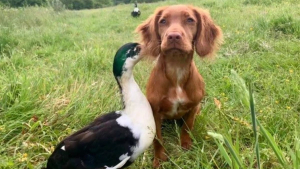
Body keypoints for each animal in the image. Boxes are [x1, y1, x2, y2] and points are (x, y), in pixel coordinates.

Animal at [136, 4, 223, 168]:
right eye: (163, 21)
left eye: (190, 20)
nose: (173, 36)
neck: (176, 69)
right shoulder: (154, 112)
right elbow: (158, 139)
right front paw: (159, 159)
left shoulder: (194, 106)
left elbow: (187, 127)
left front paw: (186, 146)